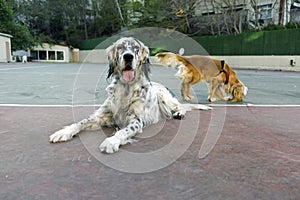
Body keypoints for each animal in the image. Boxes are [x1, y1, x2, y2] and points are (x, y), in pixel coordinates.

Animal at [48, 37, 211, 153]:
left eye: (136, 48)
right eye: (120, 48)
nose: (128, 56)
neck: (125, 88)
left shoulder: (136, 121)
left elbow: (123, 131)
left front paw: (111, 141)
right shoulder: (101, 116)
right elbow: (81, 122)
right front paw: (63, 132)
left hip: (164, 96)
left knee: (180, 106)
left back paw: (179, 113)